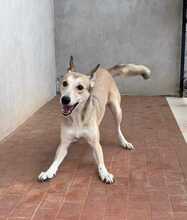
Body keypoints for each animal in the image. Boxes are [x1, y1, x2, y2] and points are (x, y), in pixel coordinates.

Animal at [38, 55, 150, 183]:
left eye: (80, 87)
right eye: (64, 83)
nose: (64, 99)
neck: (77, 117)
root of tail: (105, 70)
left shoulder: (95, 144)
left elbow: (101, 161)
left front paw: (105, 173)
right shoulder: (64, 144)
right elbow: (55, 160)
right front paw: (48, 171)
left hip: (117, 110)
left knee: (118, 128)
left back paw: (124, 142)